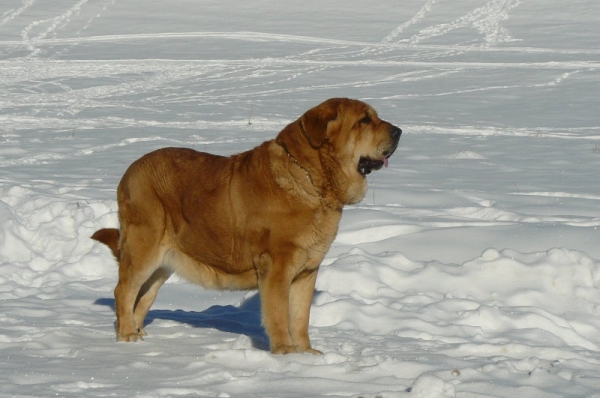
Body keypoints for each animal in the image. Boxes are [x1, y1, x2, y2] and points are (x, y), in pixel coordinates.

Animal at [94, 98, 400, 352]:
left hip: (163, 264)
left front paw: (306, 353)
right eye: (364, 120)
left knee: (143, 297)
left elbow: (300, 318)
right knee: (124, 291)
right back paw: (127, 336)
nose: (398, 131)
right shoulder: (277, 267)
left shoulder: (307, 272)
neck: (311, 178)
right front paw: (285, 353)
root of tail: (129, 172)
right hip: (144, 248)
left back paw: (138, 334)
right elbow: (278, 314)